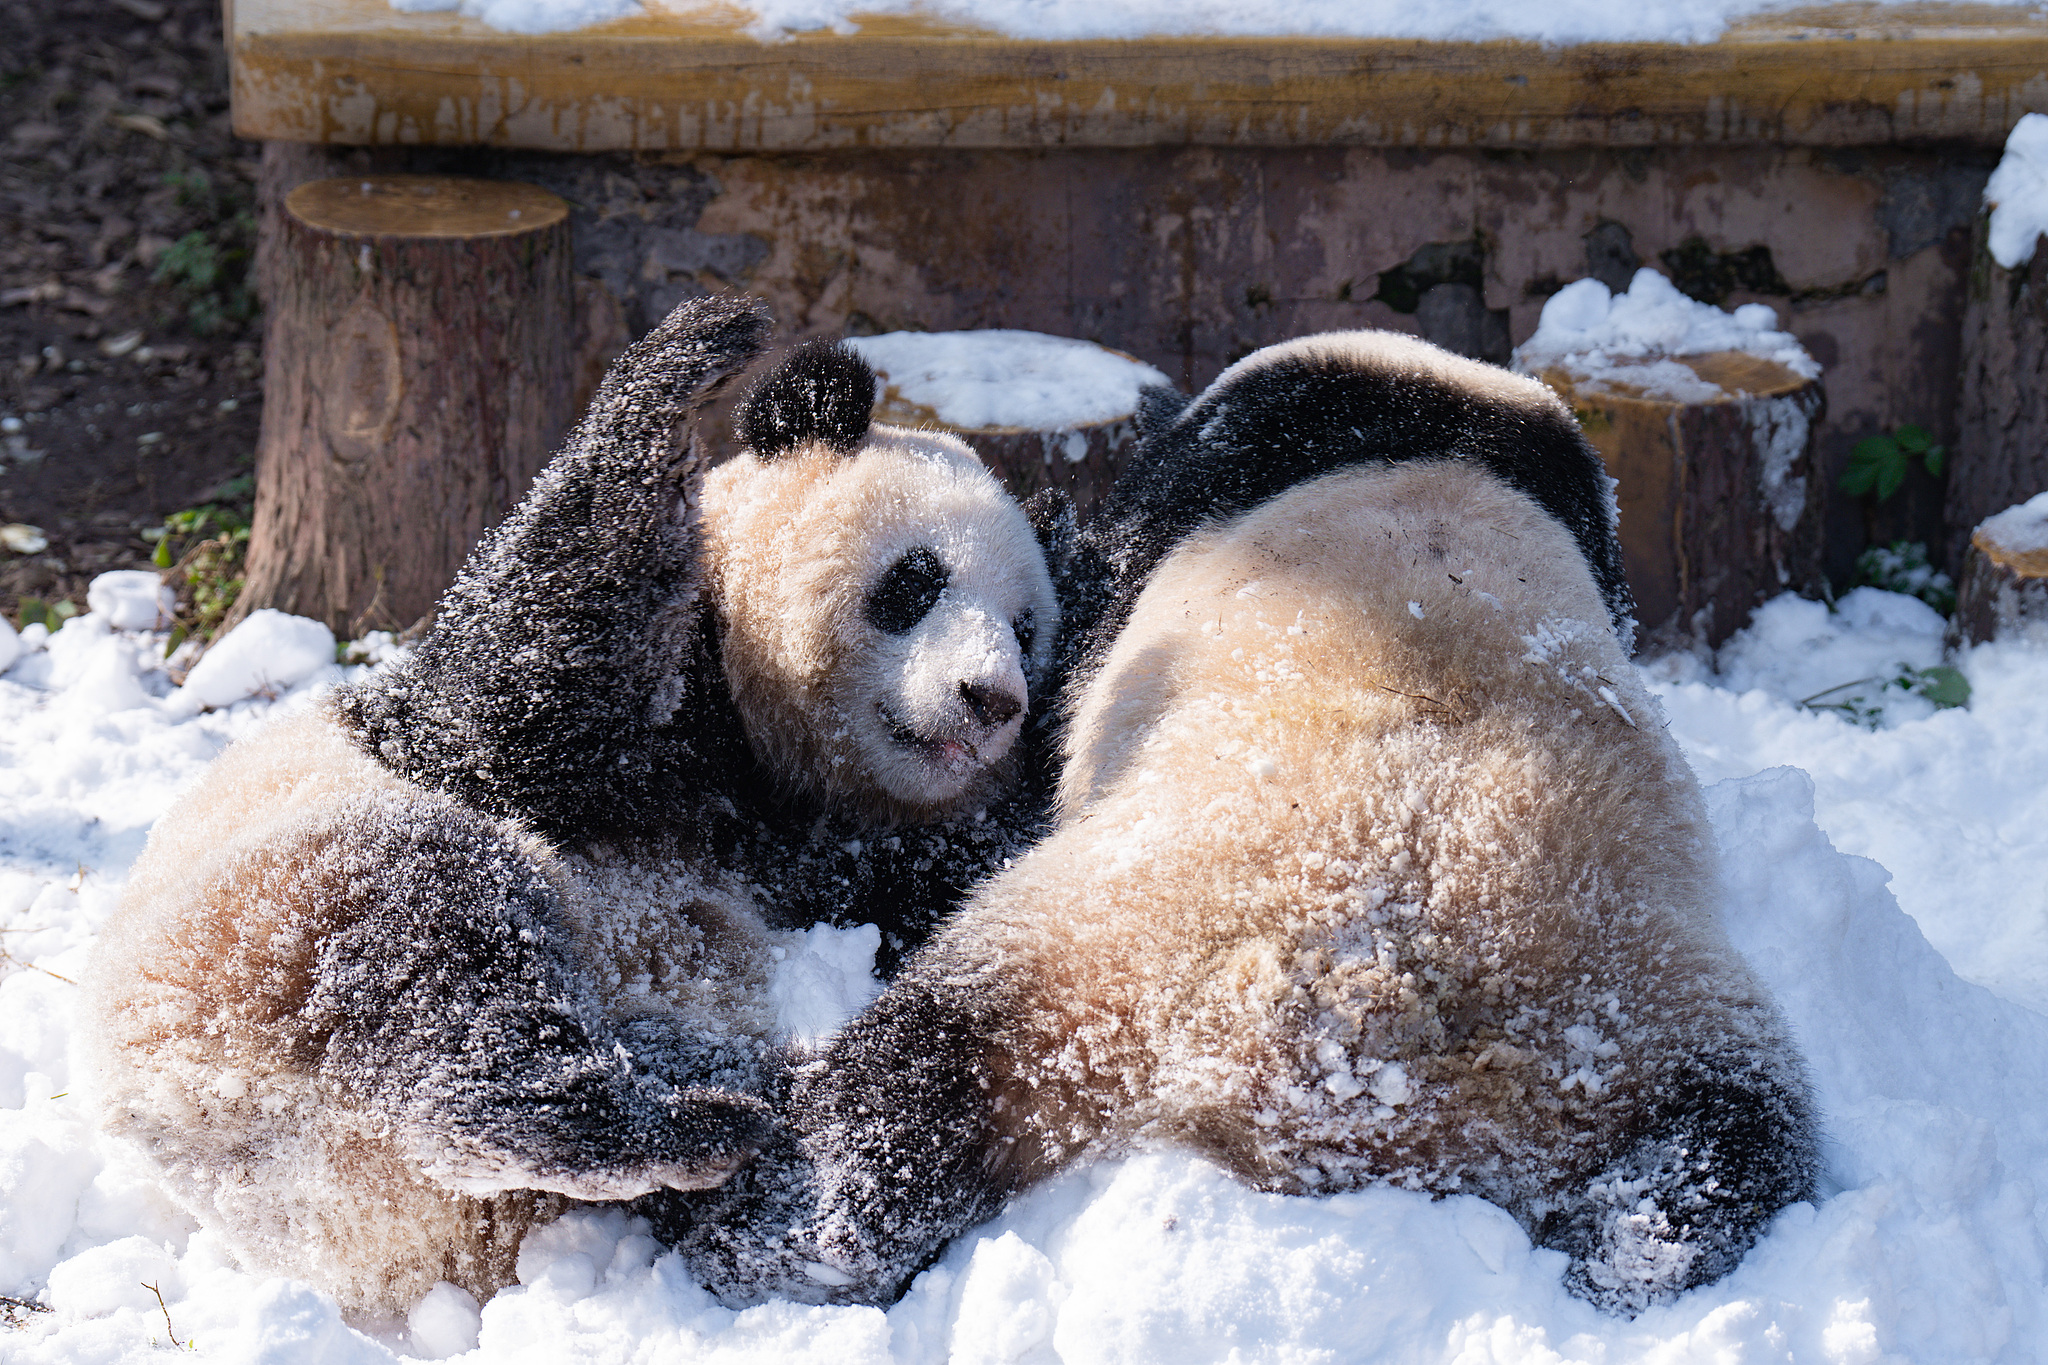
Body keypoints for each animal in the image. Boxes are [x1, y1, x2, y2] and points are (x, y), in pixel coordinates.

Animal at [79, 294, 1073, 1317]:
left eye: (1025, 630)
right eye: (916, 580)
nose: (991, 700)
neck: (765, 739)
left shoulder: (805, 849)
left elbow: (936, 869)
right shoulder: (559, 729)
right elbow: (518, 675)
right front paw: (692, 354)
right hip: (258, 933)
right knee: (439, 952)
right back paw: (650, 1127)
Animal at [663, 327, 1818, 1309]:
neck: (1436, 418)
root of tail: (1375, 1031)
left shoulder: (1214, 467)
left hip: (1111, 937)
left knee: (907, 1084)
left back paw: (756, 1226)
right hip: (1638, 1011)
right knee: (1735, 1146)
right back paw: (1635, 1242)